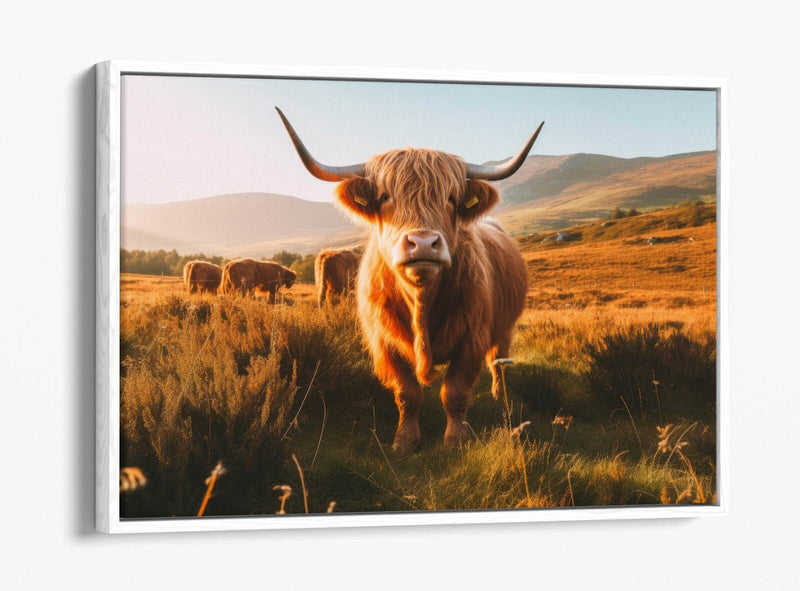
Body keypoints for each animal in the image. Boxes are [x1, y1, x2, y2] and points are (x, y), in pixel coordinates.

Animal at [277, 107, 543, 454]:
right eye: (384, 196)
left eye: (451, 197)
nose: (424, 243)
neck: (421, 299)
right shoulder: (383, 341)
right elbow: (407, 393)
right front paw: (404, 441)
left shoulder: (472, 336)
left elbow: (455, 392)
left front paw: (455, 440)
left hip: (505, 326)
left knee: (499, 360)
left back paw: (500, 395)